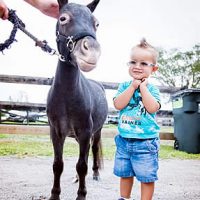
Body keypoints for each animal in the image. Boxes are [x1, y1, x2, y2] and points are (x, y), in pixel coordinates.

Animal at [46, 0, 108, 200]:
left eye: (97, 23)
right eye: (63, 18)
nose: (92, 52)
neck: (67, 97)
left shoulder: (86, 132)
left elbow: (82, 166)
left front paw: (81, 194)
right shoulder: (56, 133)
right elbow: (57, 165)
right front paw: (55, 194)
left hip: (96, 132)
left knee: (93, 151)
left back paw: (95, 174)